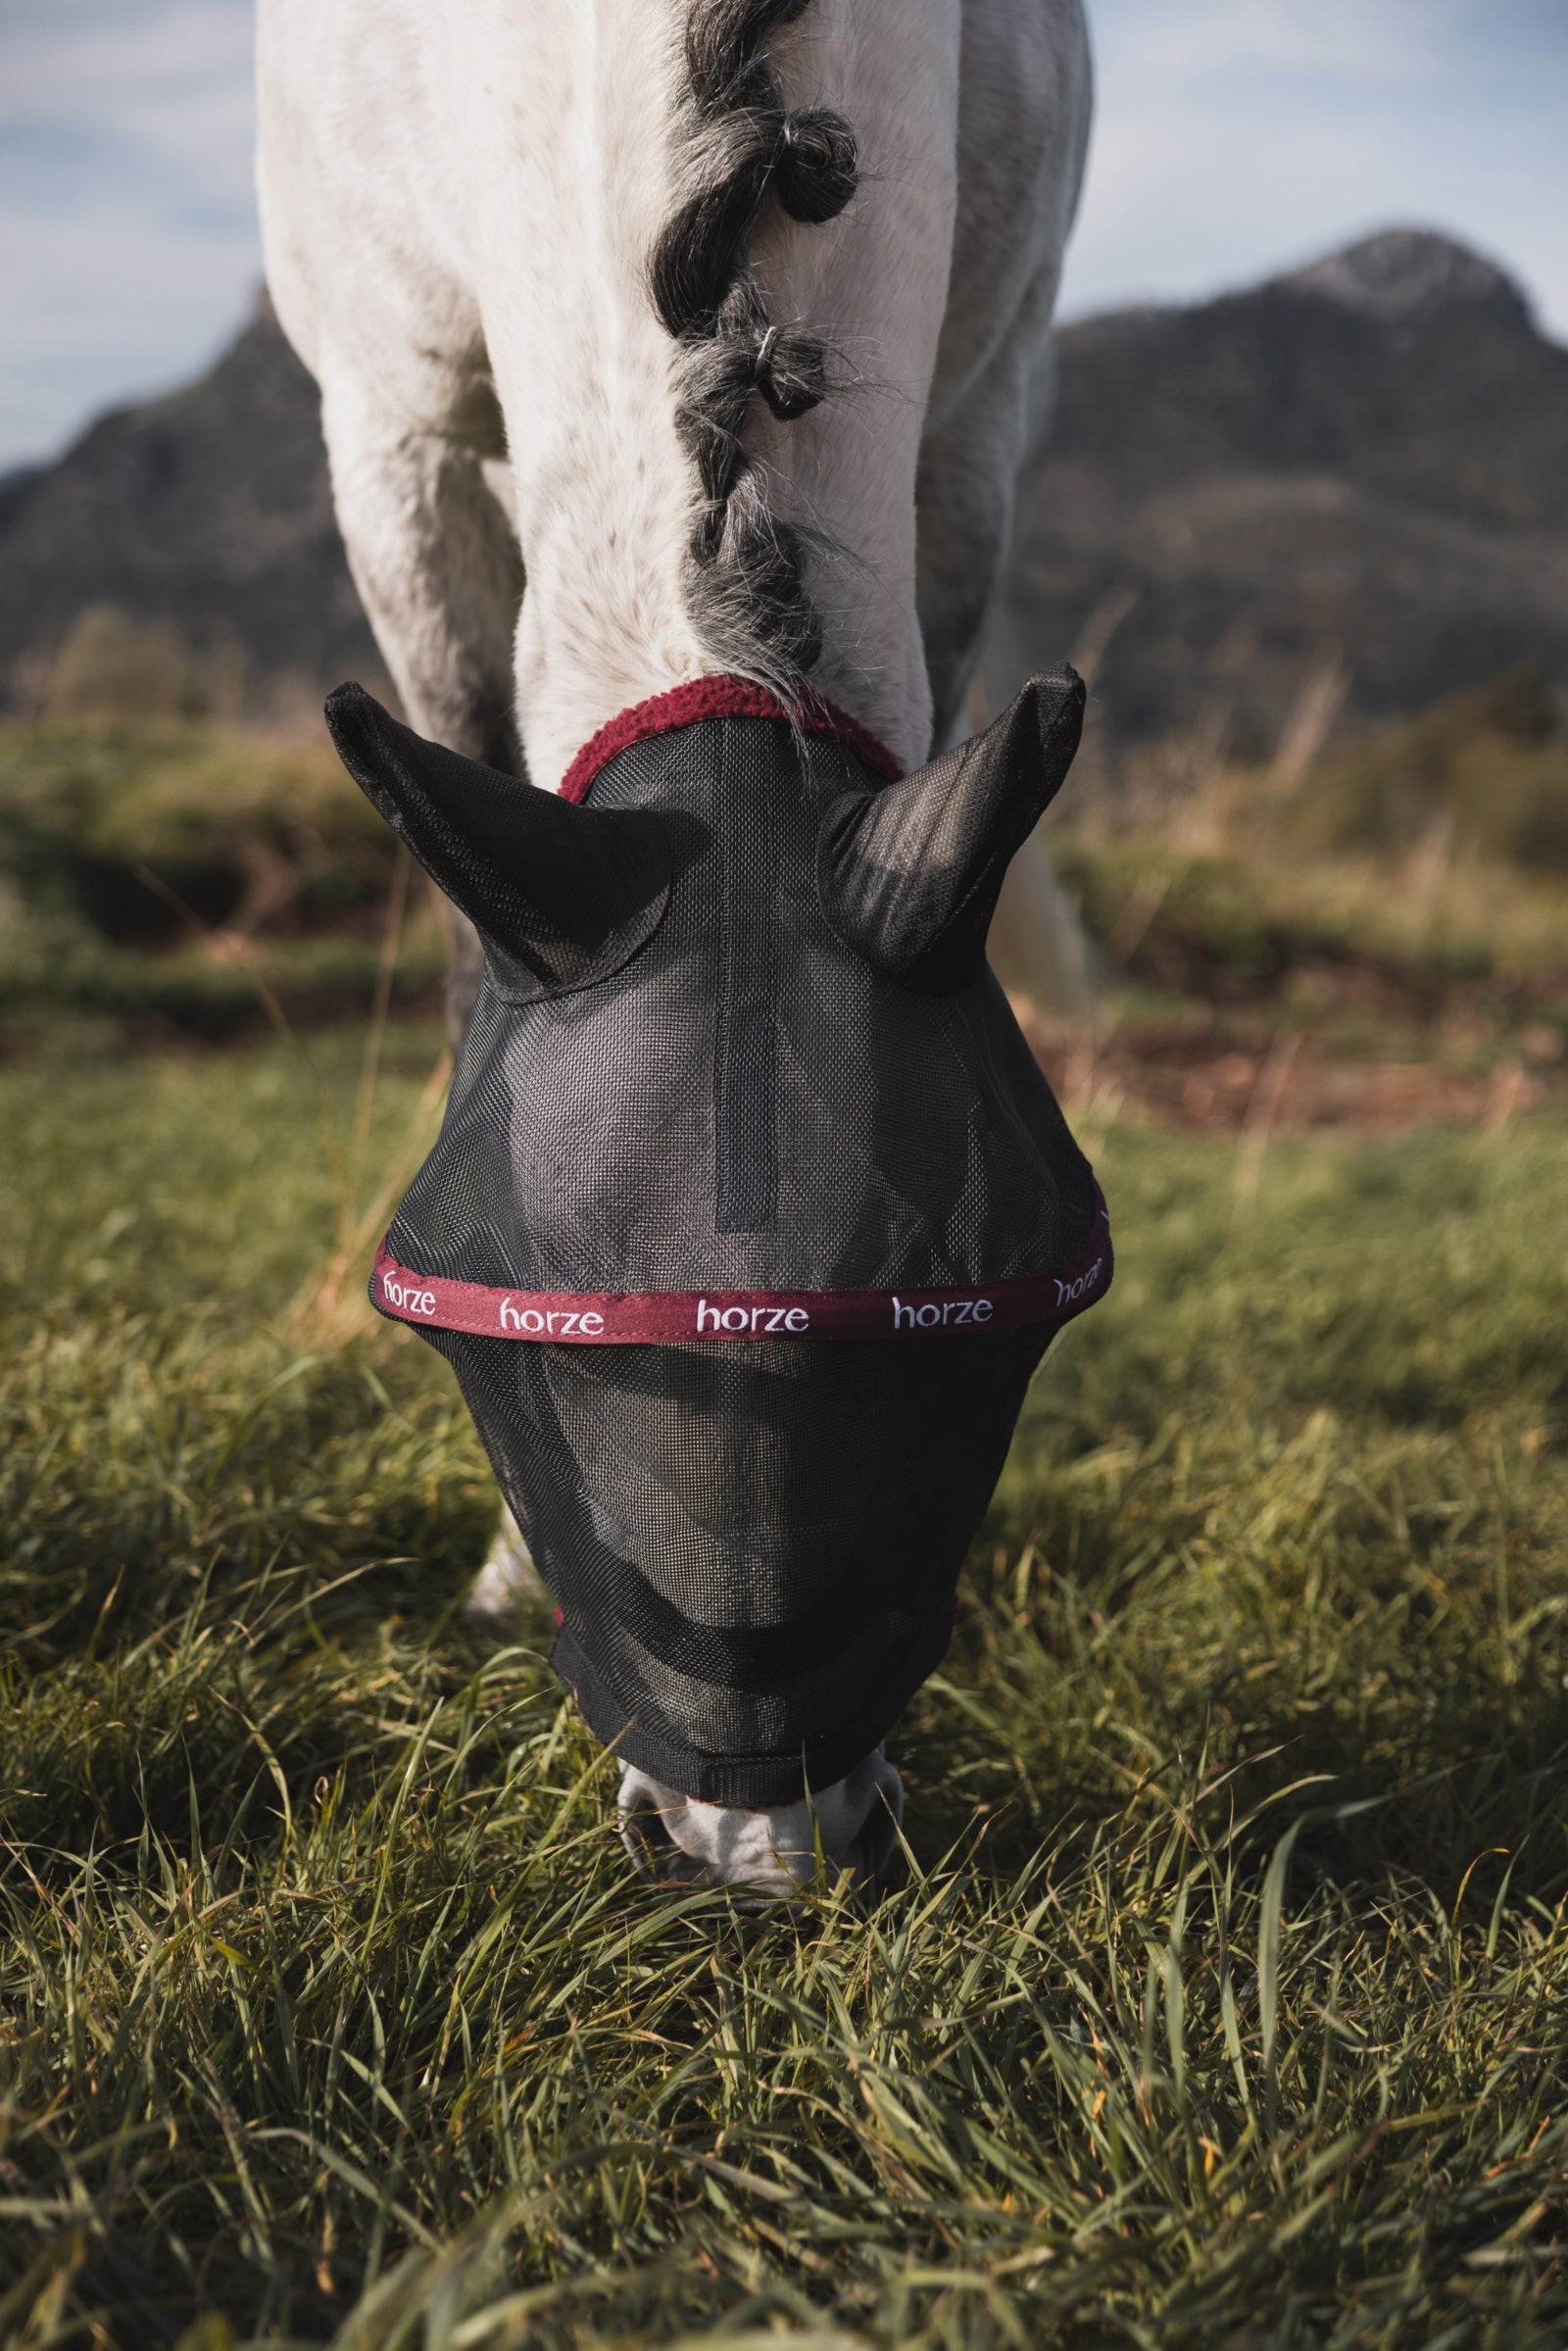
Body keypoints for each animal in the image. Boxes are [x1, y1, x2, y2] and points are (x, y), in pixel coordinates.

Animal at [257, 0, 1100, 1895]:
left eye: (974, 1360)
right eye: (517, 1356)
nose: (755, 1849)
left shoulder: (977, 420)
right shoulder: (395, 439)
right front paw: (507, 1567)